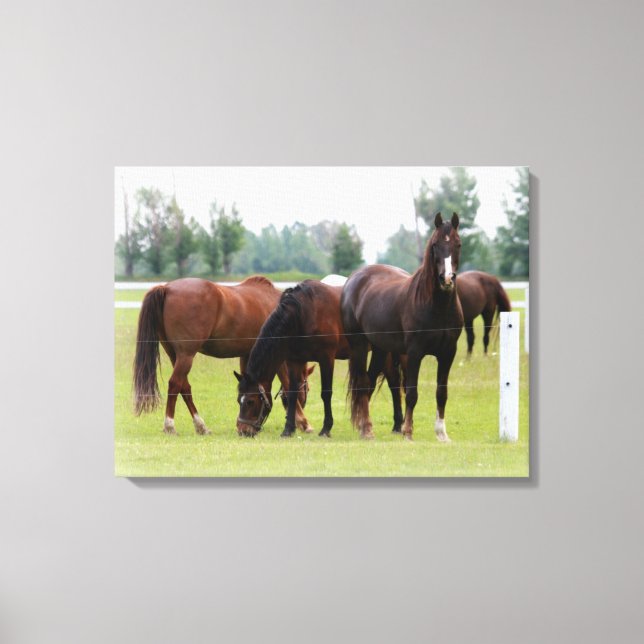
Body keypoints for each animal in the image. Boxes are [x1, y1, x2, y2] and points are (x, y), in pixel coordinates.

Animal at [133, 276, 311, 435]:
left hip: (175, 355)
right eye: (307, 388)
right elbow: (287, 384)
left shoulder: (247, 354)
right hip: (186, 355)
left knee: (185, 387)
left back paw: (201, 426)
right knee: (175, 384)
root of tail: (167, 287)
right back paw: (170, 426)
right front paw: (303, 422)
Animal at [234, 280, 406, 438]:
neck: (304, 313)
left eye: (250, 401)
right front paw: (288, 429)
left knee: (393, 384)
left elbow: (326, 393)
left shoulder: (326, 359)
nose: (243, 431)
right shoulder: (294, 360)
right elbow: (292, 393)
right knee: (392, 382)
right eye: (238, 400)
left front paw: (326, 428)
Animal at [341, 212, 463, 441]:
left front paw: (442, 434)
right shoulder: (414, 353)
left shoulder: (448, 353)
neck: (437, 306)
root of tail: (353, 279)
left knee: (369, 383)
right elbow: (412, 393)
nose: (446, 279)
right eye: (435, 244)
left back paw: (364, 427)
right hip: (359, 346)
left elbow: (441, 393)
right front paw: (407, 431)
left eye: (458, 244)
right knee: (362, 384)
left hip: (380, 350)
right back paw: (367, 430)